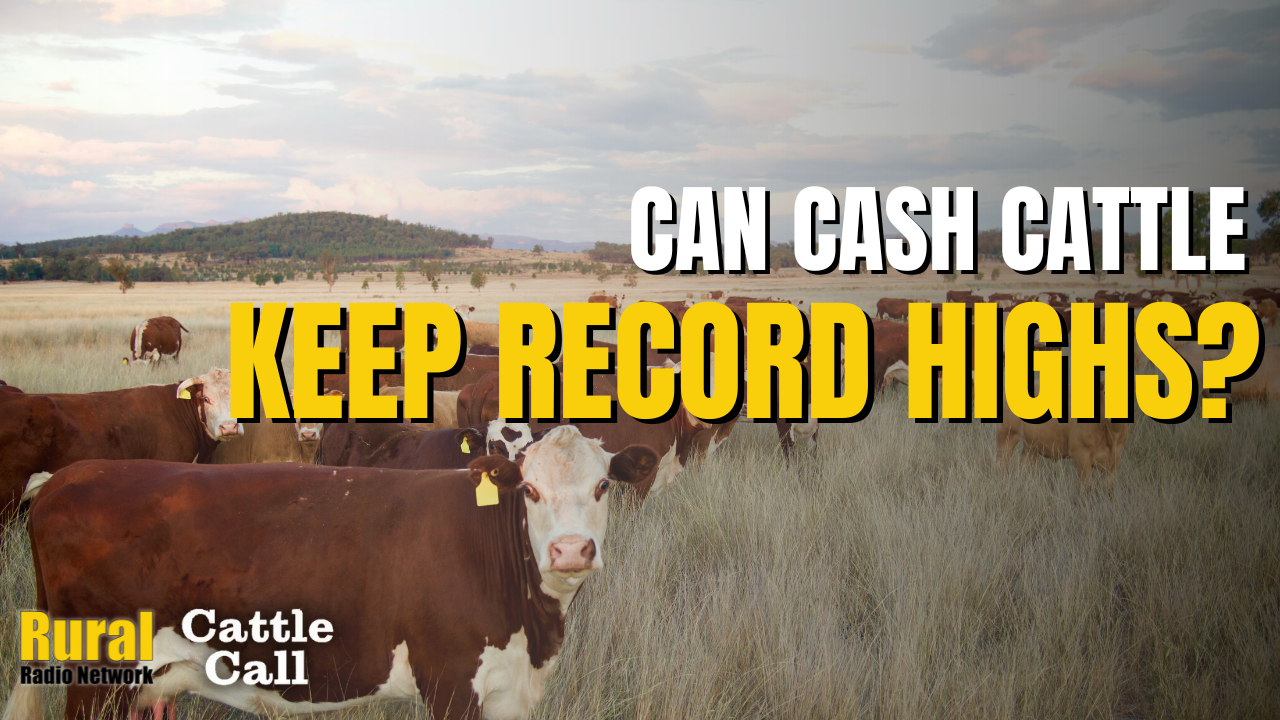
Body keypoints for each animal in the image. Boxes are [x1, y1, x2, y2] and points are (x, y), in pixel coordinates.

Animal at [15, 429, 660, 720]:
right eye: (529, 489)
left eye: (603, 485)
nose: (571, 550)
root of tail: (69, 477)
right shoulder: (451, 683)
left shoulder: (510, 692)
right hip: (97, 678)